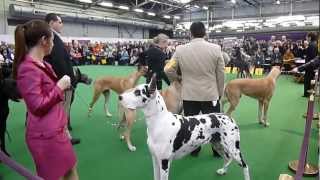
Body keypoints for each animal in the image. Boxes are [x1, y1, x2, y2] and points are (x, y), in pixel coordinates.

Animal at [119, 75, 251, 180]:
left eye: (137, 92)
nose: (120, 97)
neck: (159, 122)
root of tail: (228, 116)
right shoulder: (155, 160)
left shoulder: (164, 162)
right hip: (218, 144)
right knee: (227, 158)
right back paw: (223, 171)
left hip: (234, 149)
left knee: (245, 165)